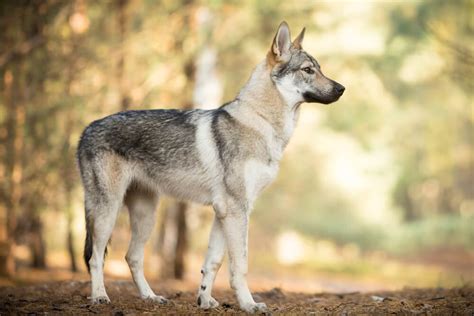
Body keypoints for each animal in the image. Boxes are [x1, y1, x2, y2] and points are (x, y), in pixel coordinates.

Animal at [78, 21, 344, 312]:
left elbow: (212, 263)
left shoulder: (223, 211)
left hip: (146, 215)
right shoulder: (237, 210)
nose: (342, 88)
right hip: (109, 212)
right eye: (308, 70)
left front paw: (204, 300)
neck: (260, 123)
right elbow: (240, 265)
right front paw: (249, 304)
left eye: (319, 68)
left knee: (132, 257)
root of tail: (86, 129)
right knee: (96, 257)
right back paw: (100, 296)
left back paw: (151, 297)